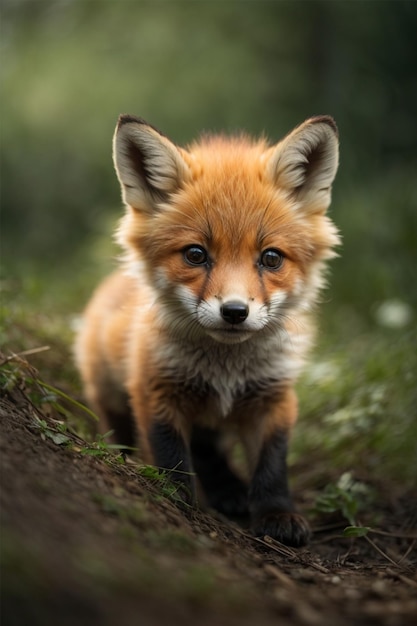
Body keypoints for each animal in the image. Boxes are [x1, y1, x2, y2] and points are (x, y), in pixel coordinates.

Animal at [75, 114, 338, 544]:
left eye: (271, 258)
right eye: (196, 255)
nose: (234, 311)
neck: (224, 370)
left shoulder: (274, 398)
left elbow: (272, 463)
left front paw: (276, 514)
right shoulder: (155, 390)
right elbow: (172, 457)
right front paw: (176, 501)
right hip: (110, 394)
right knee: (128, 434)